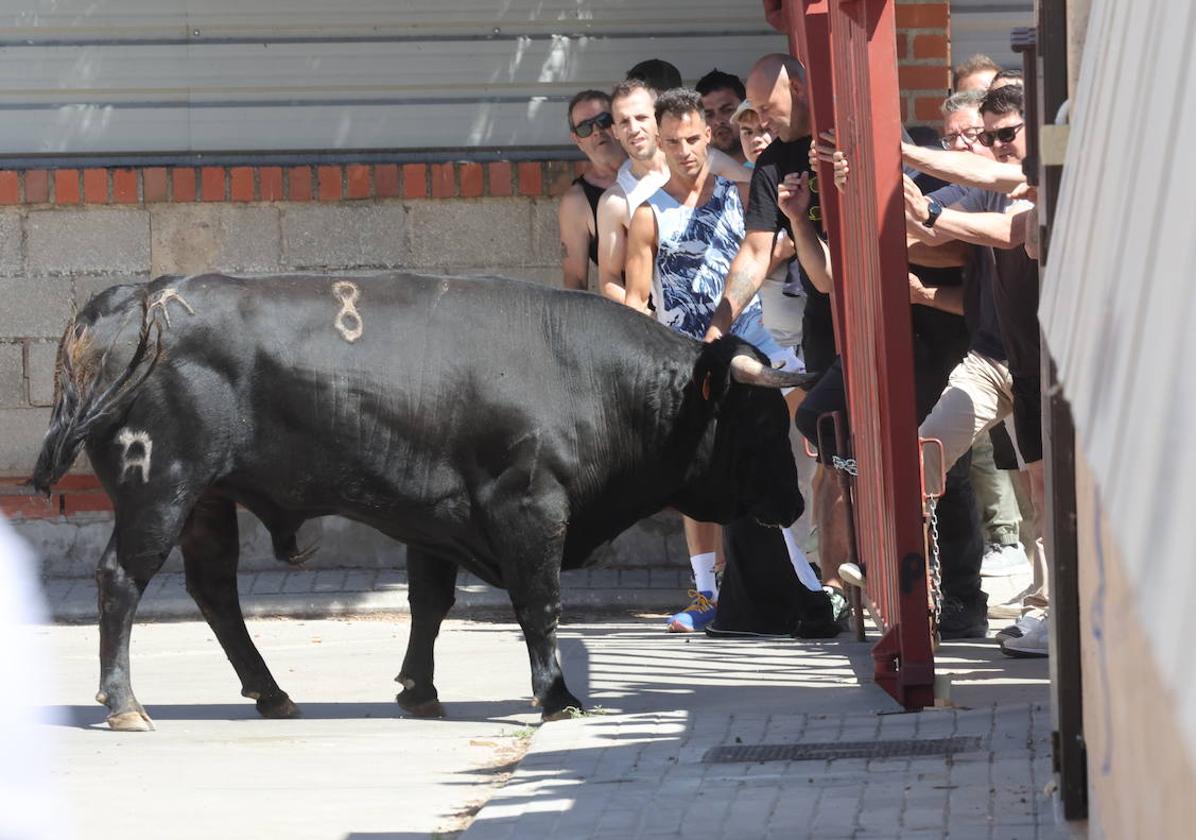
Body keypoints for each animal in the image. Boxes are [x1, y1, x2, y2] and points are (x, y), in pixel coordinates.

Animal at [32, 272, 813, 732]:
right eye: (761, 422)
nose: (795, 504)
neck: (594, 380)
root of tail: (135, 300)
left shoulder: (434, 518)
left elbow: (429, 603)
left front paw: (419, 691)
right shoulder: (529, 506)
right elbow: (539, 603)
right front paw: (558, 696)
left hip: (206, 500)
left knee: (215, 590)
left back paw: (272, 693)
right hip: (161, 489)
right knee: (122, 579)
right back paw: (125, 704)